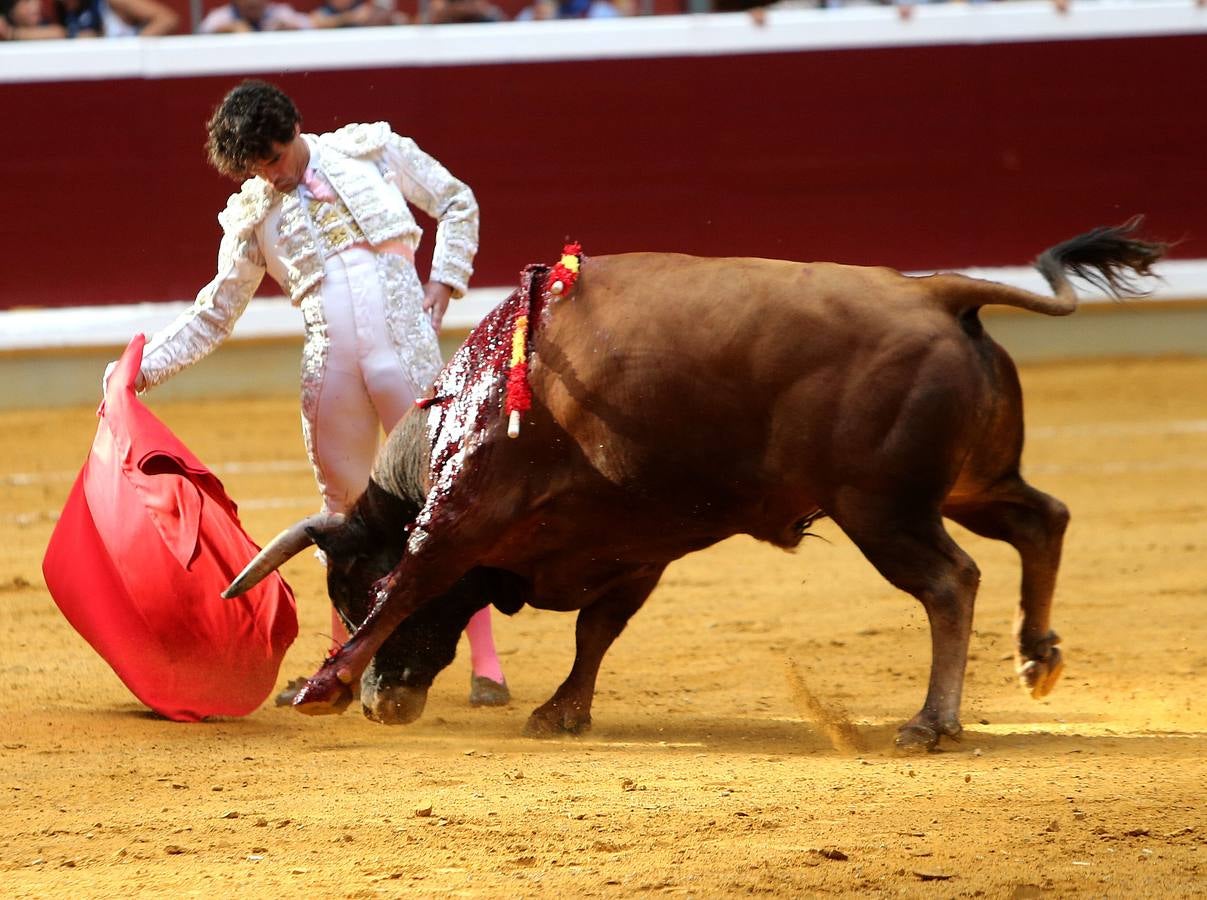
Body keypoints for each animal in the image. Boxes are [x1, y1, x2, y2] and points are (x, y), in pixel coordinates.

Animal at [224, 219, 1158, 747]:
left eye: (347, 585)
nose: (384, 706)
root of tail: (933, 295)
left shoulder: (462, 515)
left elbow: (414, 583)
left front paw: (322, 686)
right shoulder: (633, 549)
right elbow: (596, 632)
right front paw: (562, 712)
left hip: (881, 509)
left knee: (949, 581)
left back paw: (932, 721)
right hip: (970, 483)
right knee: (1041, 518)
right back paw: (1036, 657)